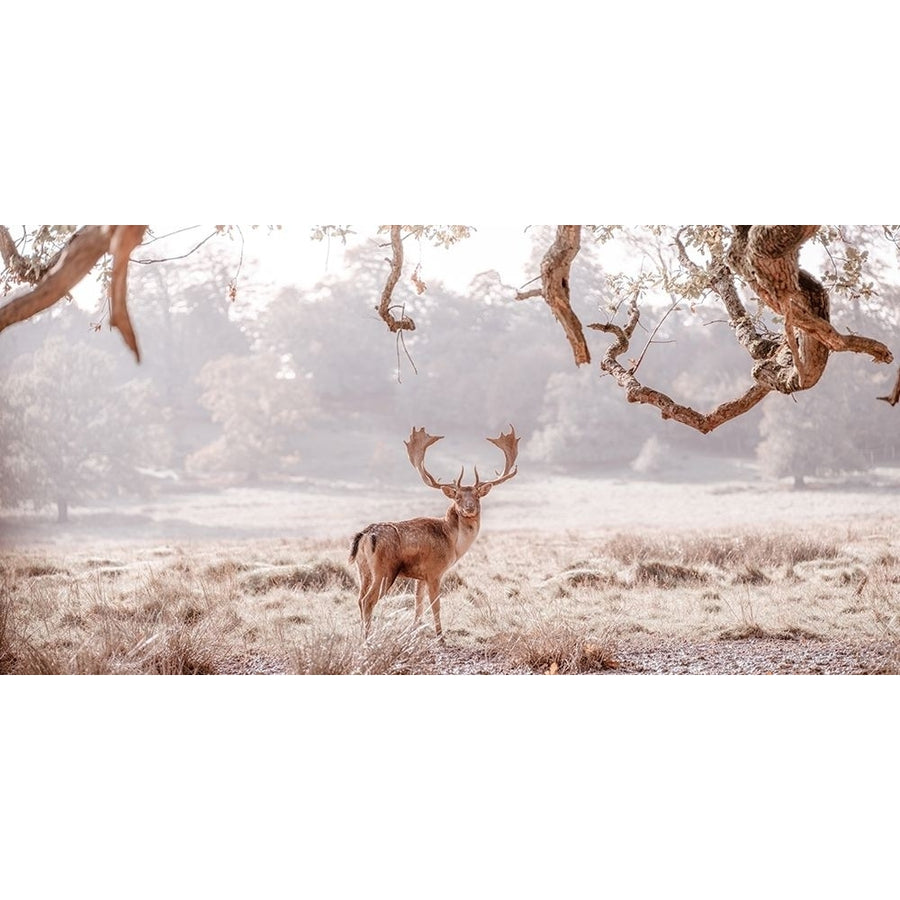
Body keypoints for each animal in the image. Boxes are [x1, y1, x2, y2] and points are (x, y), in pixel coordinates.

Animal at [352, 426, 520, 636]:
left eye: (477, 496)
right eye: (457, 497)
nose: (469, 507)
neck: (453, 543)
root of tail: (365, 536)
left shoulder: (420, 575)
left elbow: (418, 604)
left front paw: (414, 631)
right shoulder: (434, 571)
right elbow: (435, 606)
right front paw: (440, 636)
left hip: (363, 569)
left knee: (359, 599)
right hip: (384, 570)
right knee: (368, 600)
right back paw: (368, 637)